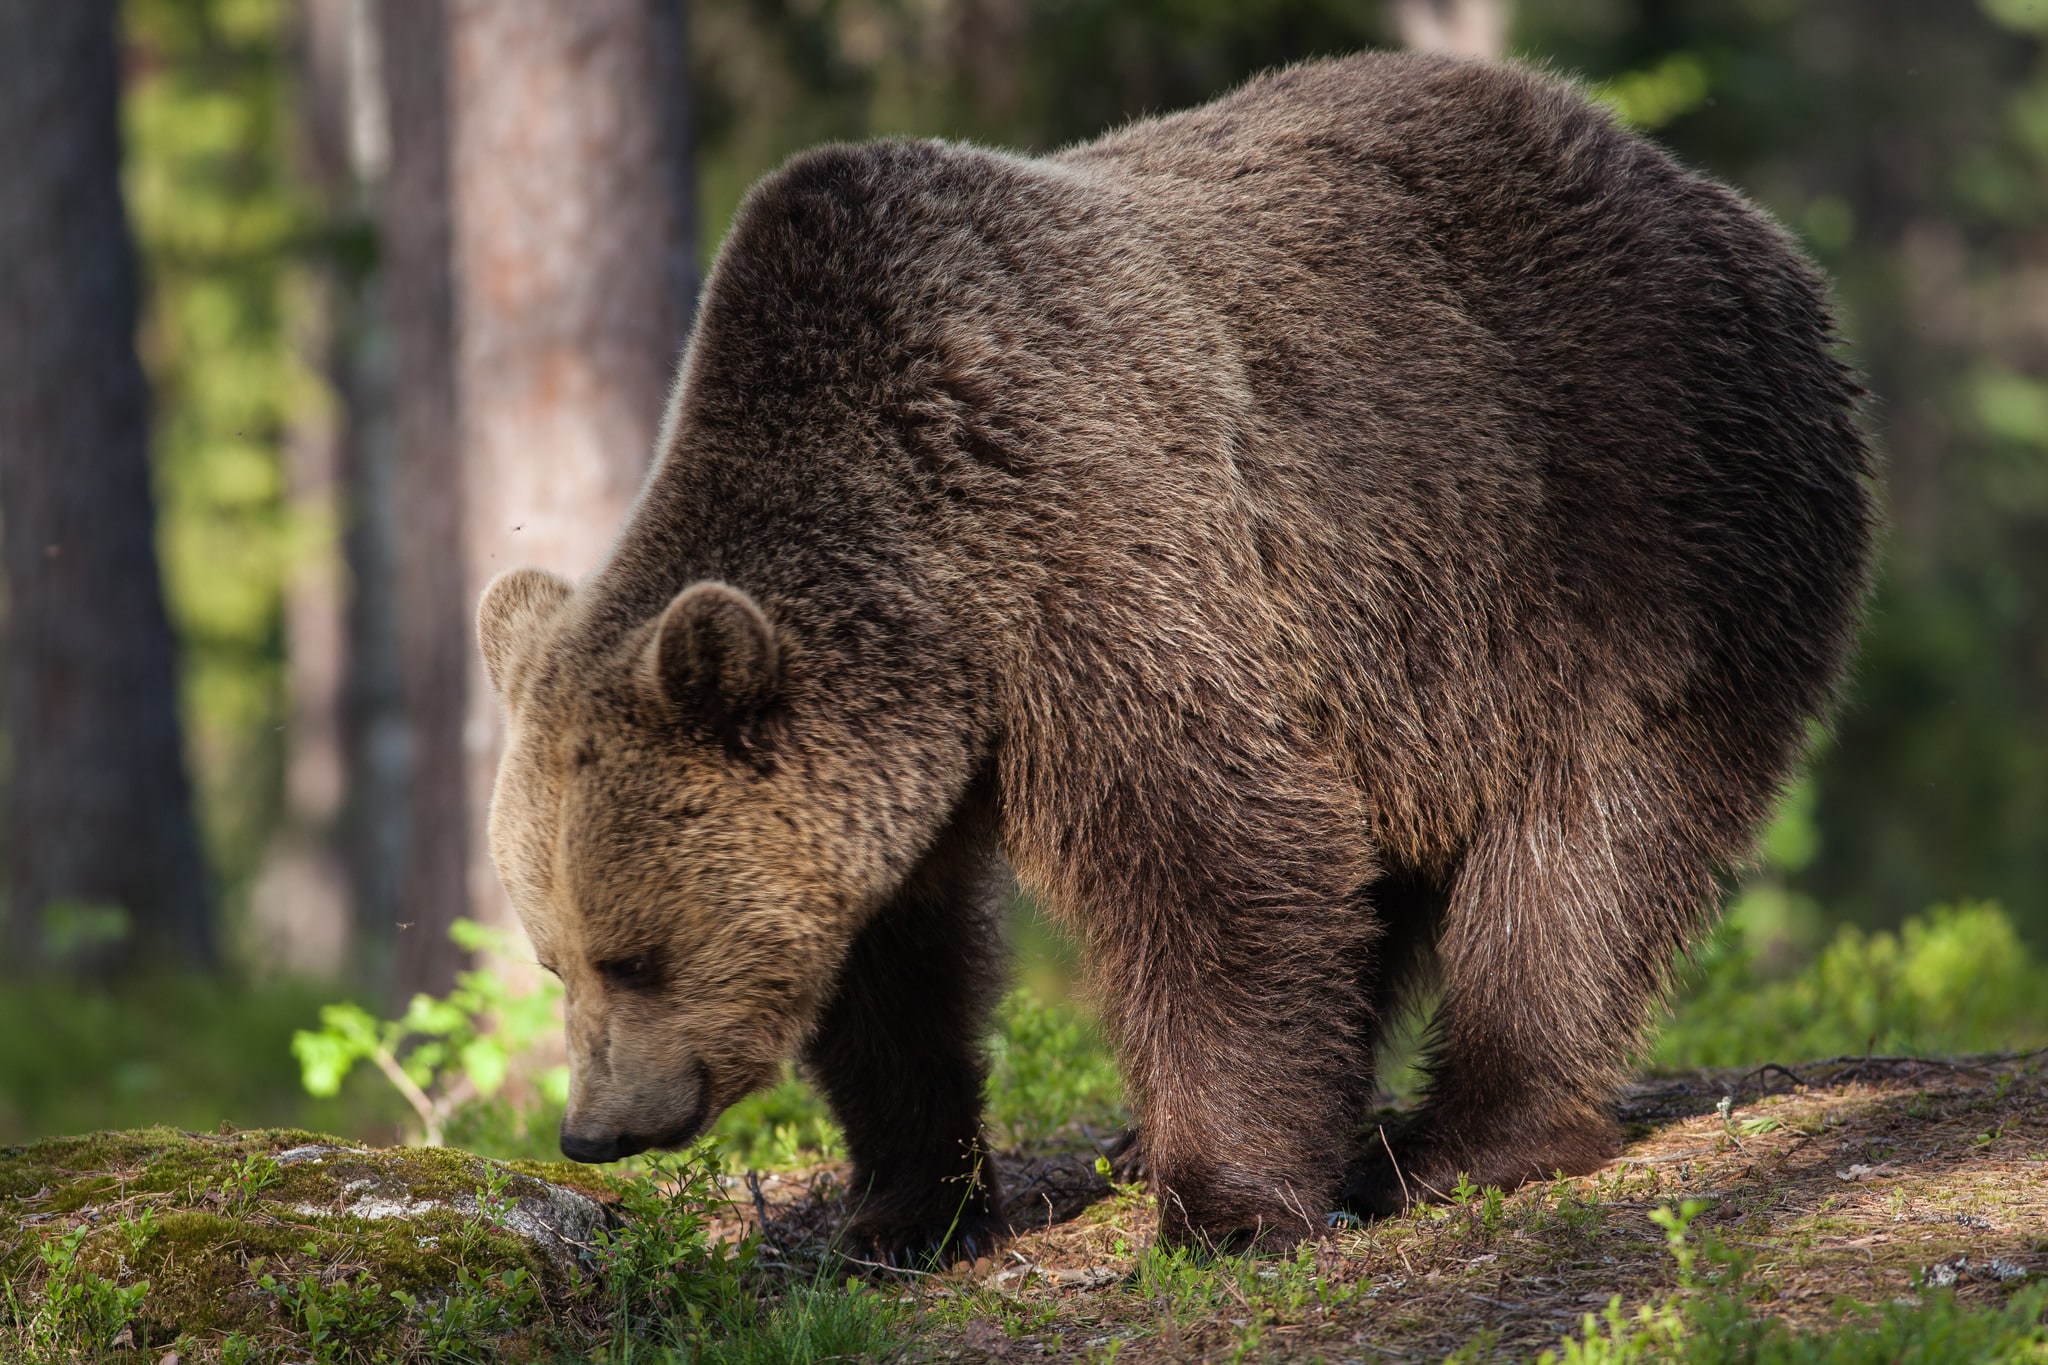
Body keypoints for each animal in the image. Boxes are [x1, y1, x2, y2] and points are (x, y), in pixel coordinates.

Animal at [475, 53, 1875, 1260]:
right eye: (554, 955)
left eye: (634, 956)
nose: (596, 1131)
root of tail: (1722, 206)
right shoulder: (912, 755)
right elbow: (900, 968)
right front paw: (901, 1208)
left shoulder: (1100, 560)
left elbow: (1213, 858)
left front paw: (1225, 1206)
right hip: (1419, 672)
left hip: (1631, 539)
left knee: (1585, 850)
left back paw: (1465, 1137)